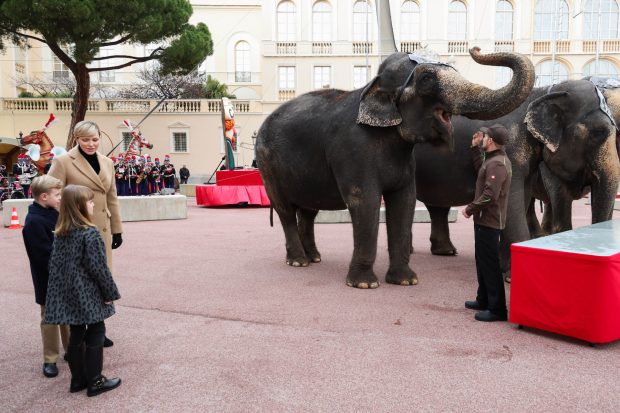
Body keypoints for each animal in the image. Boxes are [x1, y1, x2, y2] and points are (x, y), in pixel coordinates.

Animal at [254, 47, 536, 286]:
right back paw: (298, 261)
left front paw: (406, 281)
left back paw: (313, 257)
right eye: (426, 79)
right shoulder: (353, 149)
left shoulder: (406, 161)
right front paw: (365, 284)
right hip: (266, 164)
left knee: (308, 211)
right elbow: (365, 201)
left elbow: (405, 201)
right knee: (285, 209)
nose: (474, 49)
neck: (372, 86)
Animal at [414, 79, 616, 278]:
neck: (539, 94)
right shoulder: (511, 146)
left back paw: (445, 251)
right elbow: (512, 200)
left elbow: (520, 198)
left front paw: (505, 270)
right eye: (599, 132)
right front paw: (513, 276)